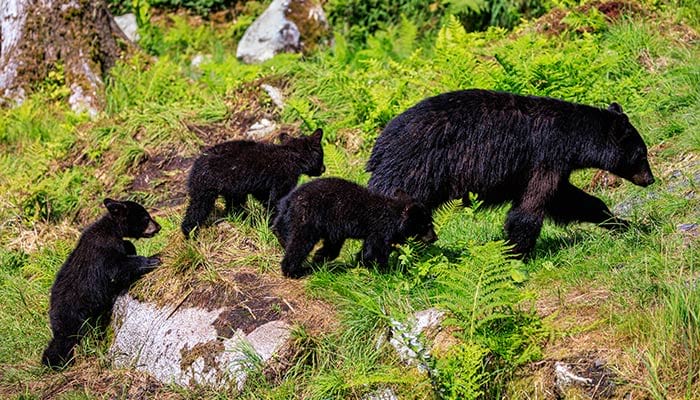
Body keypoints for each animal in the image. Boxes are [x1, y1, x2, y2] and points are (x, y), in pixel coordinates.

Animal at [42, 198, 160, 370]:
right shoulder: (103, 250)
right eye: (146, 218)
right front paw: (152, 260)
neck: (112, 229)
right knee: (69, 339)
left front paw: (132, 249)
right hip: (76, 316)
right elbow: (116, 268)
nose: (158, 227)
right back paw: (56, 361)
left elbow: (127, 247)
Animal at [179, 130, 324, 239]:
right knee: (199, 208)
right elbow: (277, 200)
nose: (324, 168)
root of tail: (195, 167)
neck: (293, 157)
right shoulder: (283, 179)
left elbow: (266, 198)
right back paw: (191, 233)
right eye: (322, 155)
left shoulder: (261, 186)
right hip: (209, 187)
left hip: (219, 188)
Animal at [274, 178, 438, 278]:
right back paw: (294, 270)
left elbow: (365, 249)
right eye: (427, 224)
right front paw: (385, 270)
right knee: (301, 242)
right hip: (309, 218)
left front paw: (320, 257)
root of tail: (291, 198)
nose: (435, 238)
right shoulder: (379, 229)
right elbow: (376, 250)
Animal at [366, 89, 656, 256]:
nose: (650, 179)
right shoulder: (544, 157)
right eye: (642, 154)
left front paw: (622, 223)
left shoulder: (551, 167)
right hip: (413, 172)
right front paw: (516, 253)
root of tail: (379, 146)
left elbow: (571, 200)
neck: (569, 136)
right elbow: (531, 207)